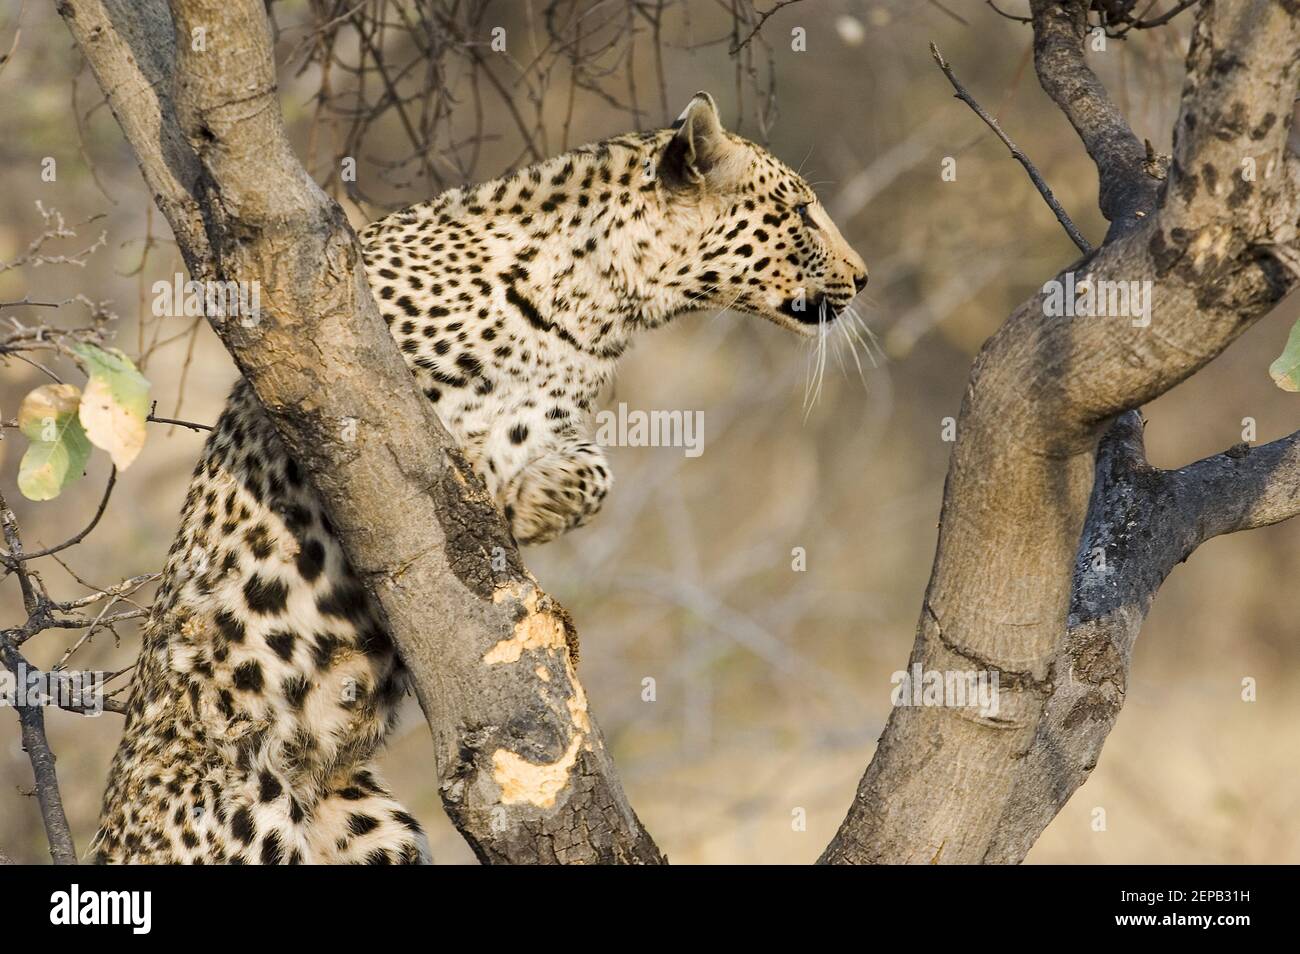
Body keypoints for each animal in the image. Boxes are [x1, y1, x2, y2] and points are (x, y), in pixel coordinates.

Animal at [89, 91, 863, 868]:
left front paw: (528, 506)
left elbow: (597, 473)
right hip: (234, 821)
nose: (861, 278)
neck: (599, 311)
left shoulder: (553, 425)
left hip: (376, 828)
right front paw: (487, 482)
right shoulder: (309, 395)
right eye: (801, 210)